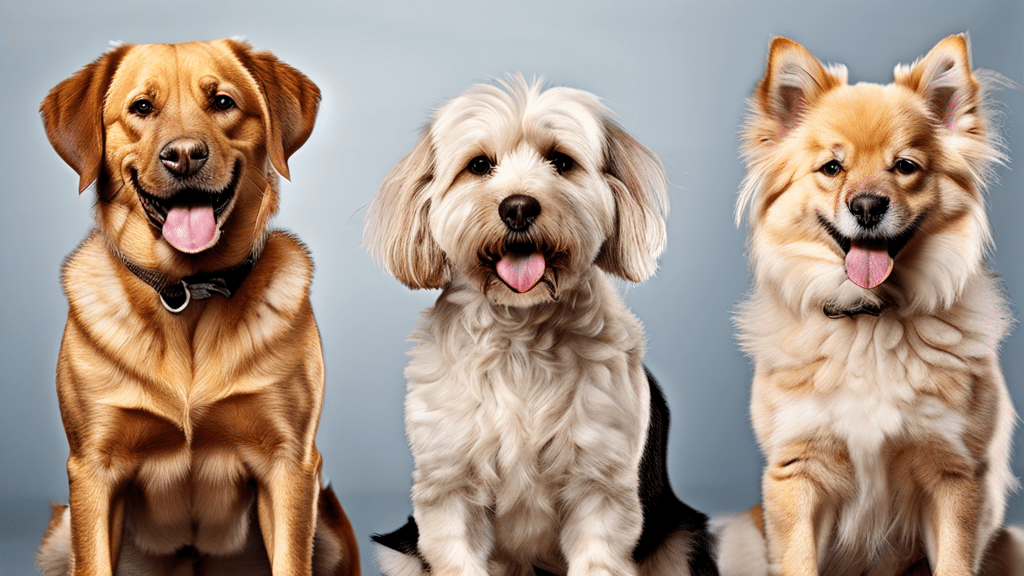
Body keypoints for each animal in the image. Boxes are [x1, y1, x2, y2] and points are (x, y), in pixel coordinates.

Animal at [35, 39, 360, 573]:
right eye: (142, 107)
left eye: (222, 102)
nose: (184, 155)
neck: (185, 290)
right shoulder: (94, 470)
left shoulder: (289, 464)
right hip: (59, 535)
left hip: (329, 525)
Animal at [364, 77, 716, 573]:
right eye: (478, 165)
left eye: (561, 161)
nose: (517, 208)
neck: (520, 334)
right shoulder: (449, 487)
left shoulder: (600, 490)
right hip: (399, 550)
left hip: (681, 536)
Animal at [716, 34, 1024, 573]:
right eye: (831, 168)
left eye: (905, 167)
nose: (866, 206)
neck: (870, 318)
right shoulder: (796, 471)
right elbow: (798, 560)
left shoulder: (956, 474)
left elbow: (954, 560)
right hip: (741, 538)